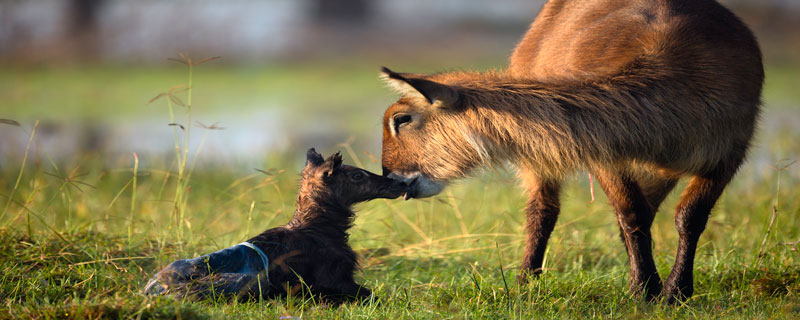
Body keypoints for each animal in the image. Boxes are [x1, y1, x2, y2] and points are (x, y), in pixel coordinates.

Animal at [142, 149, 406, 302]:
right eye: (358, 175)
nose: (401, 183)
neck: (320, 227)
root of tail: (150, 290)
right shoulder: (334, 277)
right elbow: (373, 295)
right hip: (250, 281)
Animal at [378, 0, 764, 302]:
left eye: (401, 118)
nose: (390, 175)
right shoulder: (606, 156)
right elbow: (632, 214)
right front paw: (645, 290)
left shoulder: (730, 152)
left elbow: (689, 217)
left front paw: (675, 291)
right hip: (541, 160)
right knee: (544, 210)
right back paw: (525, 283)